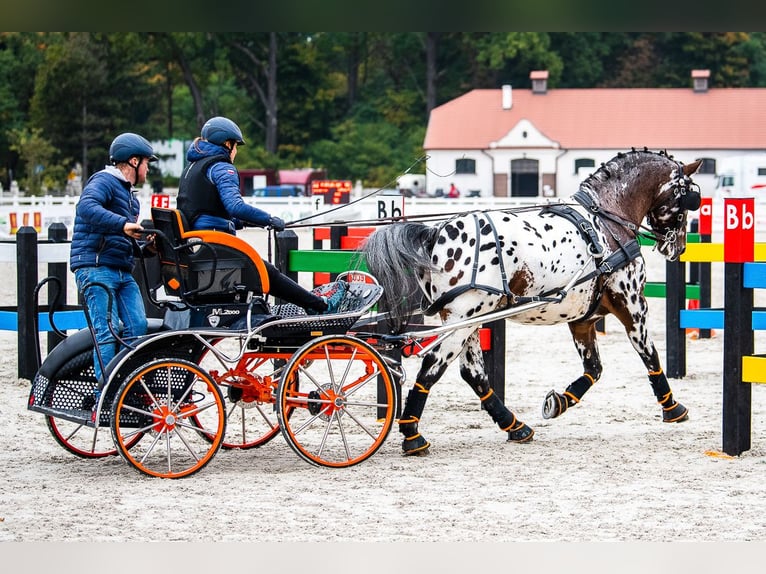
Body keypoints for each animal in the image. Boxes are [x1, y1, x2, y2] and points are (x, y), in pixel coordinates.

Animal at [364, 151, 704, 456]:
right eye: (690, 197)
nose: (677, 247)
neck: (606, 220)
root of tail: (435, 233)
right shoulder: (632, 305)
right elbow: (649, 356)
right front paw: (672, 407)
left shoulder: (583, 319)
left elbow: (594, 369)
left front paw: (559, 402)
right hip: (462, 320)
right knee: (432, 367)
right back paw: (412, 434)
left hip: (467, 320)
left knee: (472, 373)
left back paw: (514, 426)